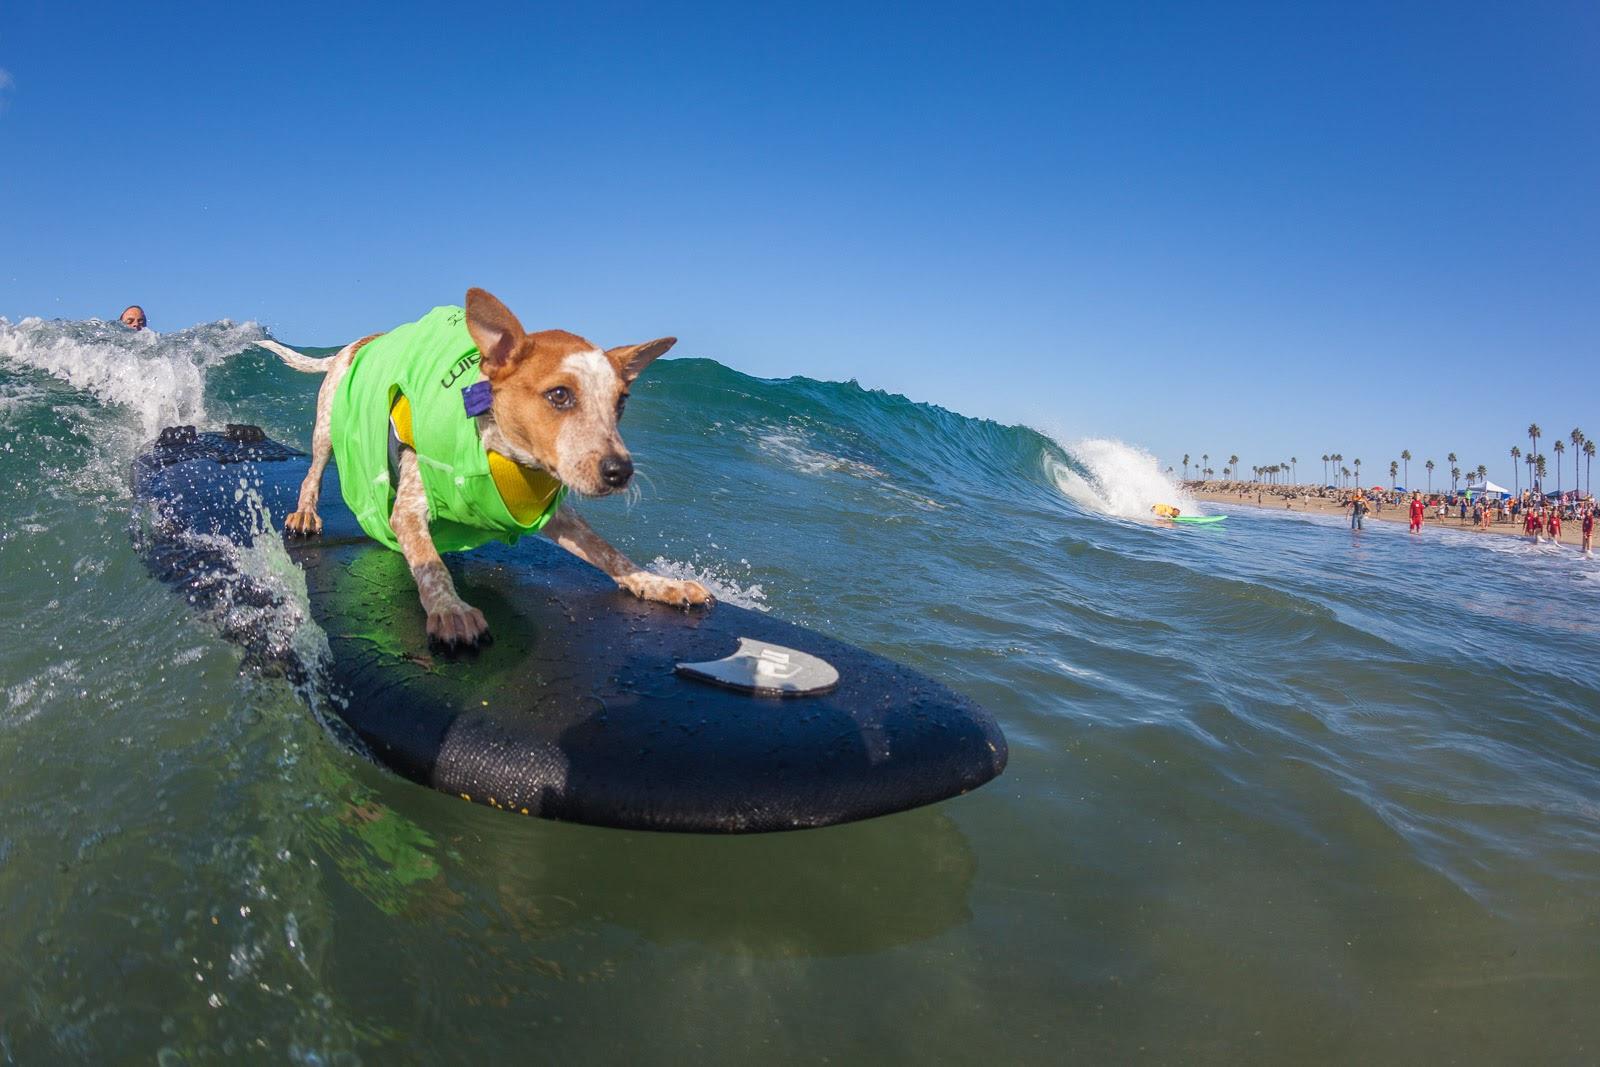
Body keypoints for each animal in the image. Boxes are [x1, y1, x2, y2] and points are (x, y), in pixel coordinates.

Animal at [259, 286, 710, 652]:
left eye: (621, 402)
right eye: (559, 395)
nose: (621, 472)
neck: (503, 453)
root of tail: (358, 343)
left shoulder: (553, 514)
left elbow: (610, 553)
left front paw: (658, 583)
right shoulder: (409, 505)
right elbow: (431, 567)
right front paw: (451, 609)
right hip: (326, 428)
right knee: (314, 470)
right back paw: (306, 512)